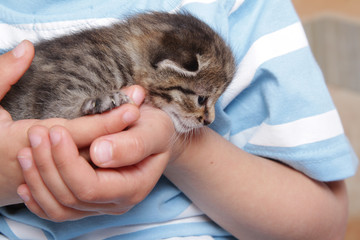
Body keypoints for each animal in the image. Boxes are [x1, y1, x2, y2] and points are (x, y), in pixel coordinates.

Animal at [0, 11, 236, 133]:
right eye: (201, 99)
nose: (209, 122)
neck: (122, 57)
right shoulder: (54, 96)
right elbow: (58, 110)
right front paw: (100, 100)